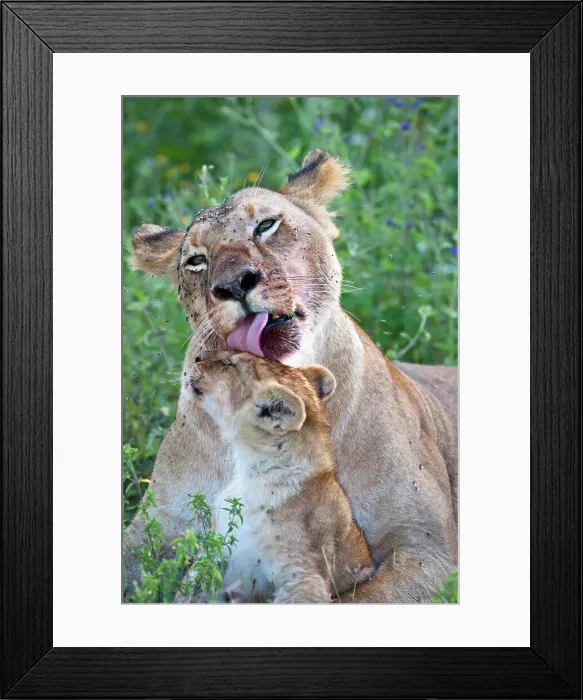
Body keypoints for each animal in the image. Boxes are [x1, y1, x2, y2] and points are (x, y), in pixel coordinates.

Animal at [183, 350, 375, 603]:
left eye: (229, 364)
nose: (197, 357)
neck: (250, 473)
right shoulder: (213, 549)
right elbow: (190, 588)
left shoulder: (303, 574)